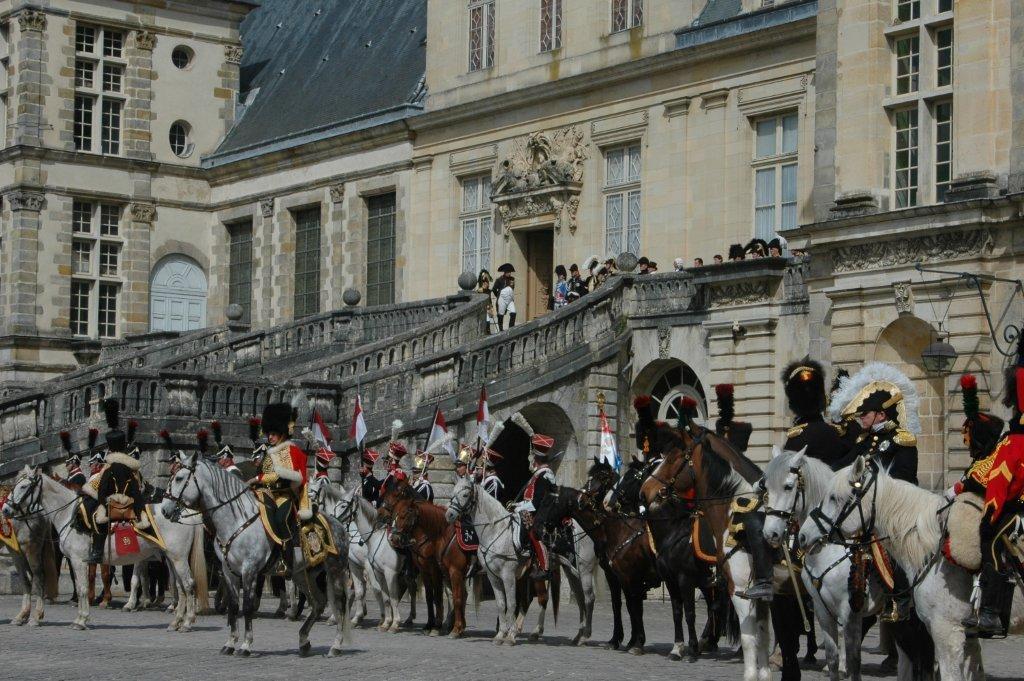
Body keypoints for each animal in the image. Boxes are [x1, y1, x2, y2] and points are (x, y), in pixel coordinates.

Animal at [4, 464, 201, 630]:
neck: (70, 515)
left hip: (178, 558)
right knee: (180, 586)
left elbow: (83, 589)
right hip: (171, 558)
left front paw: (81, 620)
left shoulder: (78, 560)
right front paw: (80, 618)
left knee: (188, 584)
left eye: (23, 487)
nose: (6, 509)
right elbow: (82, 587)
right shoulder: (78, 561)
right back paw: (176, 621)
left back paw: (187, 622)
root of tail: (184, 512)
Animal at [159, 450, 350, 655]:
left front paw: (246, 644)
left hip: (335, 570)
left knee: (340, 604)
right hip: (303, 573)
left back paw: (336, 645)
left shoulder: (249, 570)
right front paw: (230, 643)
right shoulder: (228, 571)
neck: (237, 520)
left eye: (179, 478)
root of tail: (338, 524)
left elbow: (248, 607)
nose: (164, 510)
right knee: (319, 603)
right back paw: (303, 640)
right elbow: (234, 606)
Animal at [446, 473, 532, 643]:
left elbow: (511, 603)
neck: (495, 532)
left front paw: (509, 636)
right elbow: (501, 603)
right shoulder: (493, 576)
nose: (449, 515)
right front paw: (501, 634)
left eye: (465, 495)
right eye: (453, 493)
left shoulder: (508, 575)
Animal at [761, 446, 937, 679]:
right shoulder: (823, 610)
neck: (830, 549)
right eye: (766, 488)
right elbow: (832, 659)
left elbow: (854, 661)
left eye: (788, 486)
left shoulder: (850, 611)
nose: (770, 534)